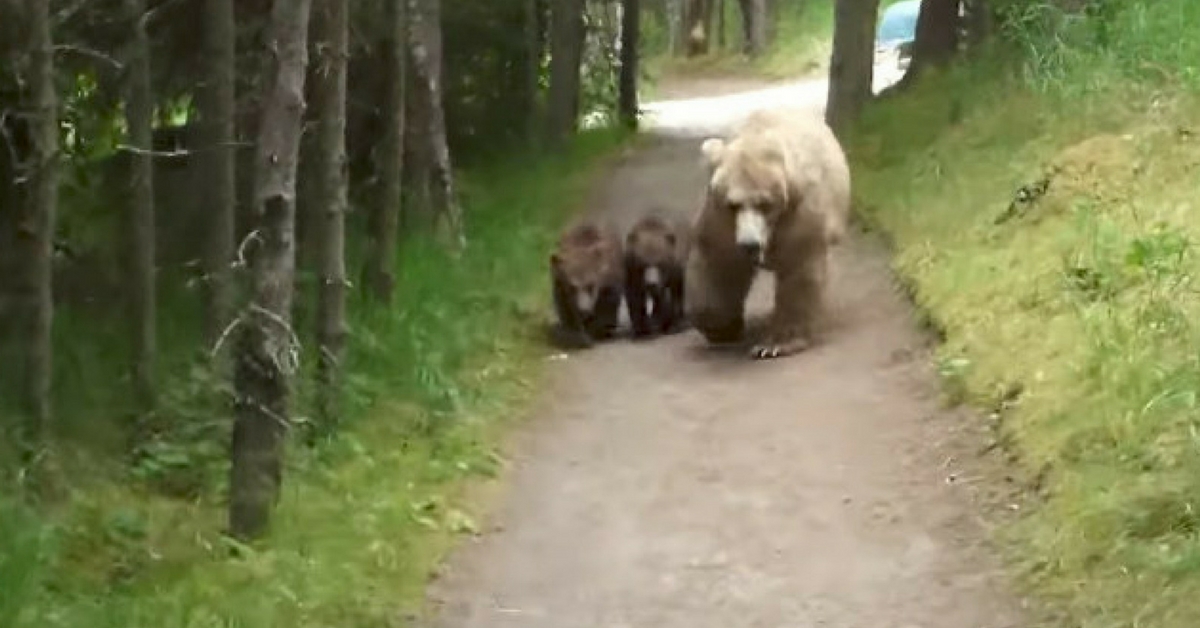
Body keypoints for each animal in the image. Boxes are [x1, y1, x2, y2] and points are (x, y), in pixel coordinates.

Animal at [686, 106, 854, 357]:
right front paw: (721, 327)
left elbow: (798, 269)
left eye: (764, 204)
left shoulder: (800, 212)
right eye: (733, 204)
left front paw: (774, 344)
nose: (749, 244)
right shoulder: (721, 219)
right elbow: (719, 262)